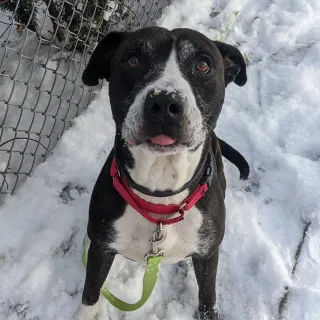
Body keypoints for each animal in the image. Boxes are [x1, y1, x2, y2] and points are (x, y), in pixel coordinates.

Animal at [75, 26, 250, 318]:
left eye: (203, 65)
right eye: (133, 60)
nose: (165, 102)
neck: (160, 194)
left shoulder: (208, 255)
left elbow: (207, 299)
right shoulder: (100, 248)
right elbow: (90, 294)